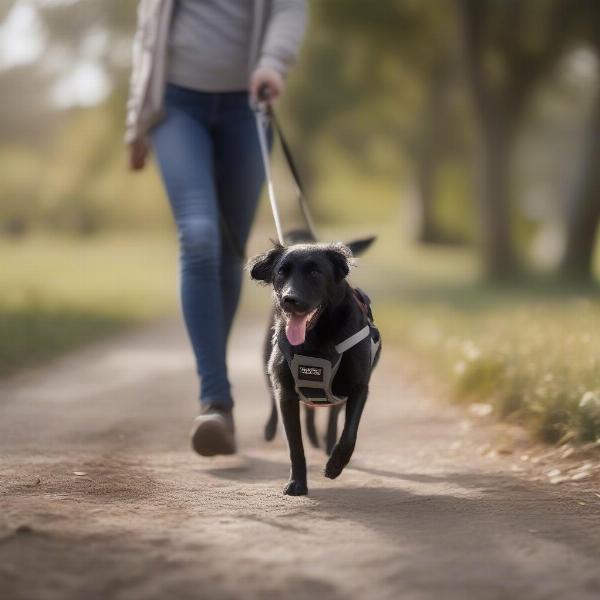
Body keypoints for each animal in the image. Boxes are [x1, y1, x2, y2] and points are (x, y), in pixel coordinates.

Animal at [247, 241, 380, 494]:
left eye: (315, 273)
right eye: (281, 272)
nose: (289, 299)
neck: (315, 338)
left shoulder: (359, 387)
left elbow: (349, 434)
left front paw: (335, 465)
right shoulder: (286, 394)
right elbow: (295, 446)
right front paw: (297, 483)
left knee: (331, 416)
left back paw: (326, 444)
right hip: (267, 364)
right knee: (276, 401)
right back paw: (271, 430)